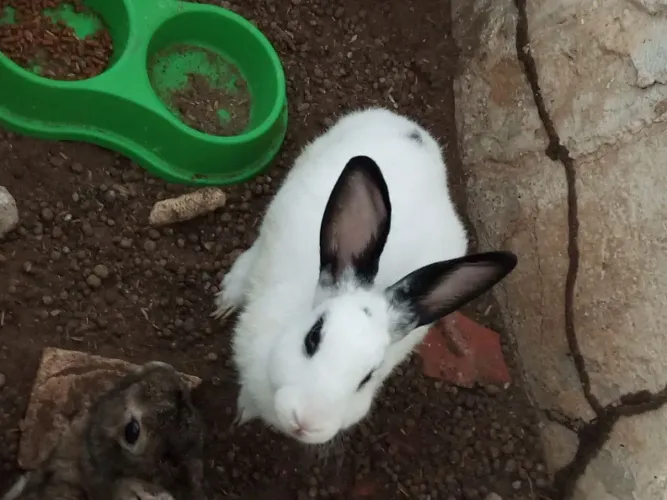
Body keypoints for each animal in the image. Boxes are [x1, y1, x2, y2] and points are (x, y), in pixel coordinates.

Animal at [211, 107, 518, 445]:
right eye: (313, 337)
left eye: (368, 377)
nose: (306, 422)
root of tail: (411, 129)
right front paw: (243, 413)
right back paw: (229, 295)